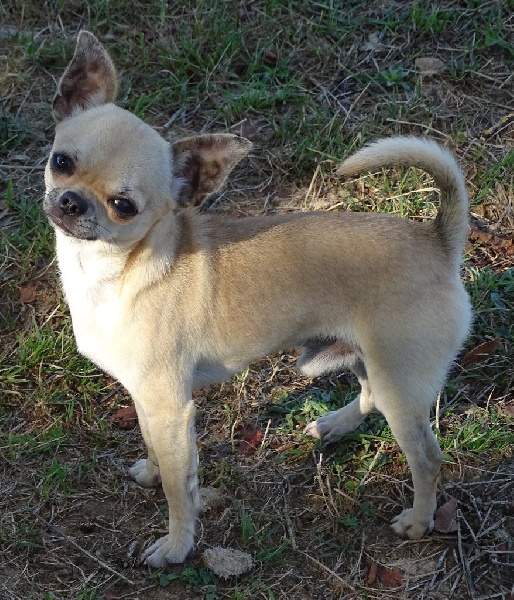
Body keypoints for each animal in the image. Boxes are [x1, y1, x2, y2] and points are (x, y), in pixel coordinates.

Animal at [44, 31, 471, 568]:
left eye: (124, 206)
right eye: (62, 162)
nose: (71, 201)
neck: (114, 270)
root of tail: (437, 241)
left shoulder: (171, 408)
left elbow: (180, 489)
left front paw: (177, 545)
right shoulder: (147, 398)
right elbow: (154, 446)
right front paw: (151, 471)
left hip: (401, 380)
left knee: (427, 458)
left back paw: (418, 520)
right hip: (368, 360)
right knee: (370, 394)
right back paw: (333, 424)